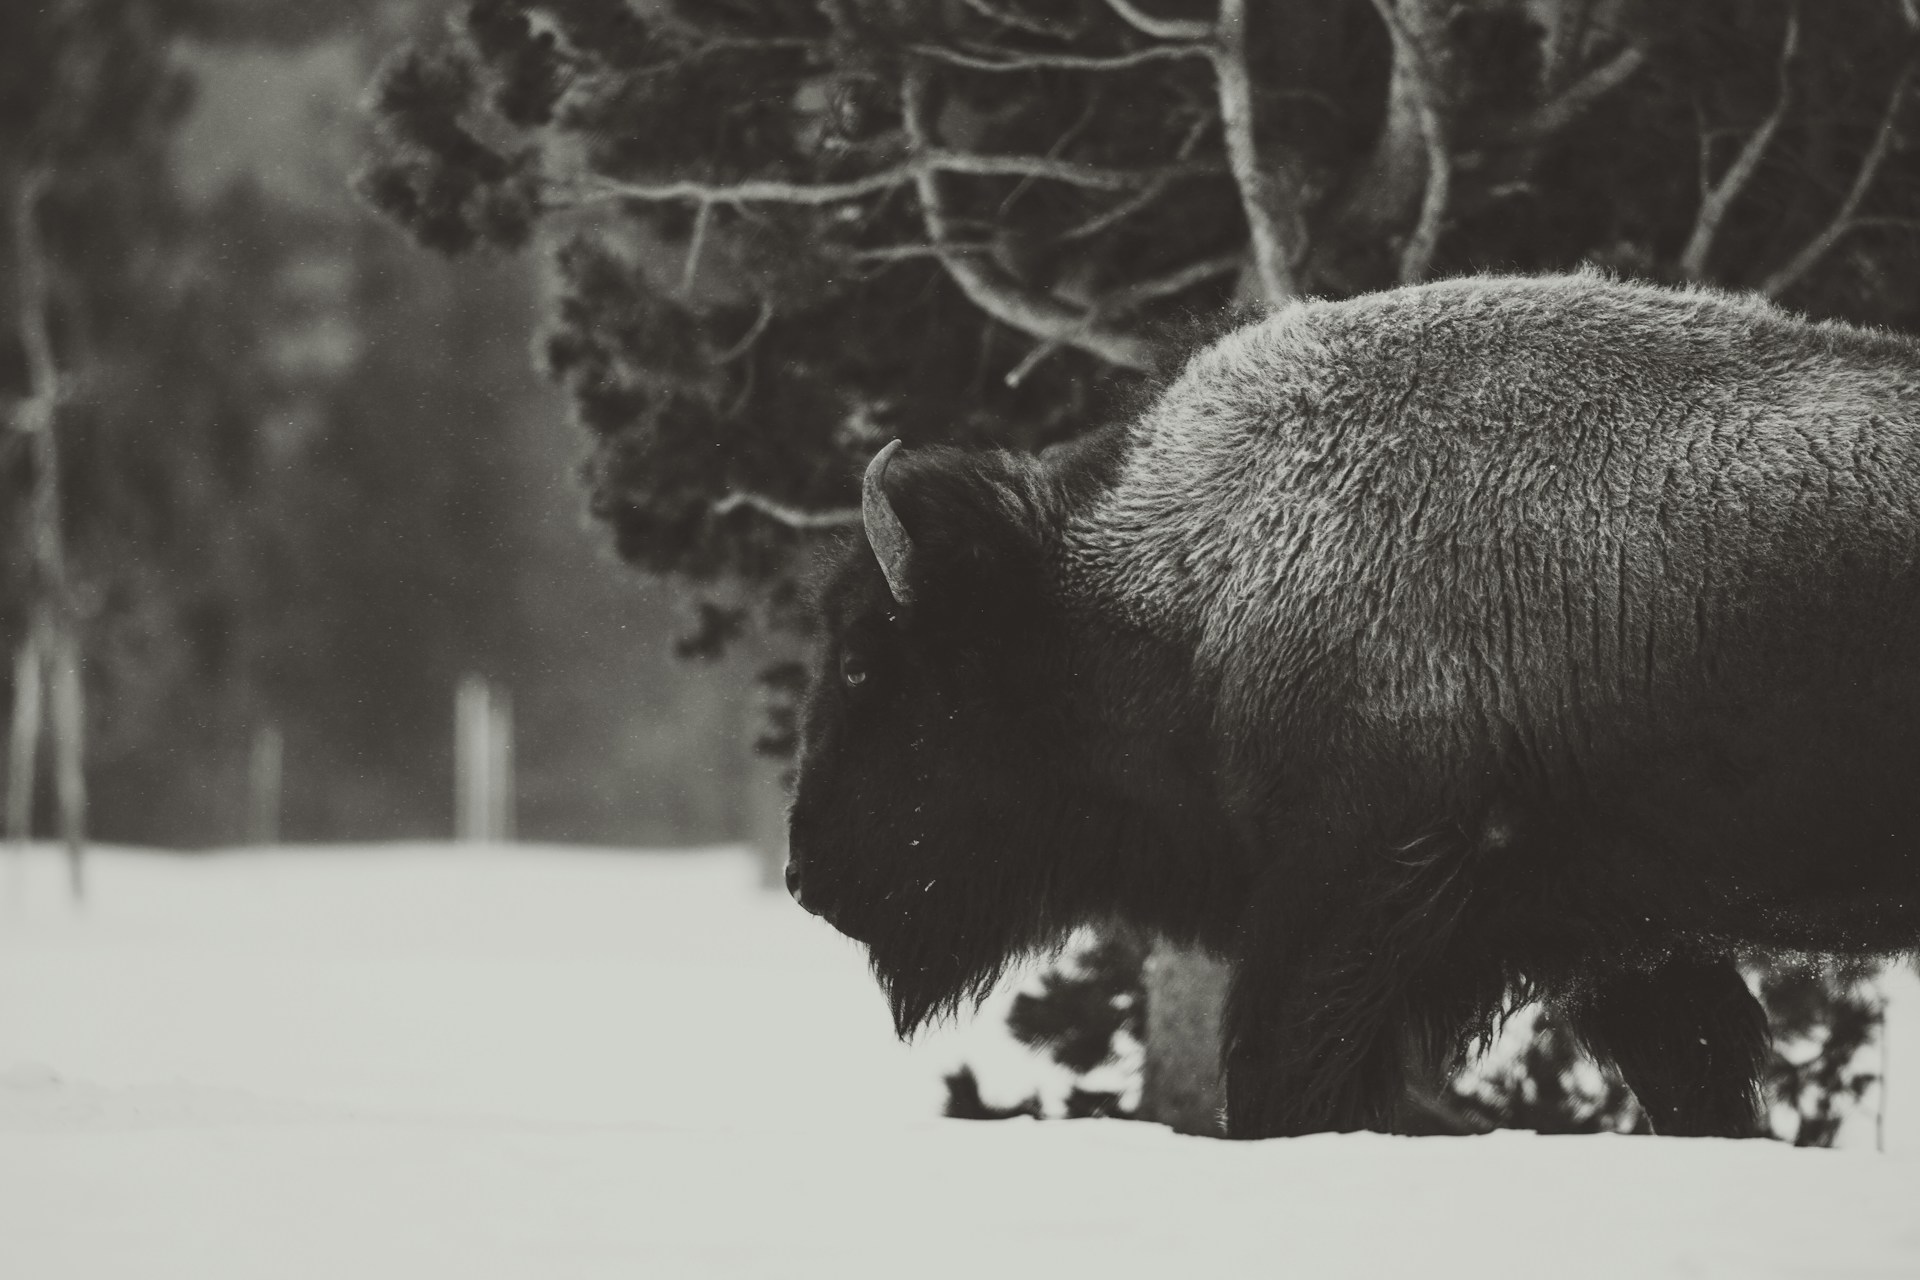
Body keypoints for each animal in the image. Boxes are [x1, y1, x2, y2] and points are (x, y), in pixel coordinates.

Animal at [784, 272, 1920, 1139]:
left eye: (863, 666)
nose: (804, 876)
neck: (1197, 574)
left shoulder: (1354, 878)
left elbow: (1278, 1074)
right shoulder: (1622, 935)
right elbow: (1698, 1081)